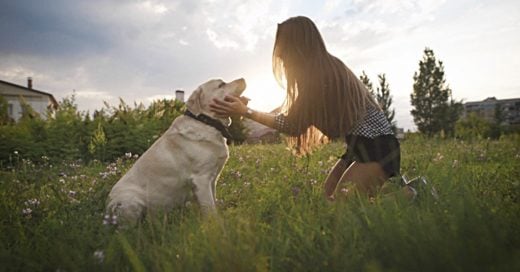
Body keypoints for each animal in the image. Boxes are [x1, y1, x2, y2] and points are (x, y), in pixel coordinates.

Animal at [106, 77, 247, 222]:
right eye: (221, 85)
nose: (243, 78)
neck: (206, 121)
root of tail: (107, 210)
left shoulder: (212, 179)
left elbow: (213, 203)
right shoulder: (201, 179)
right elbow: (210, 209)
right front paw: (217, 225)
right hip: (130, 200)